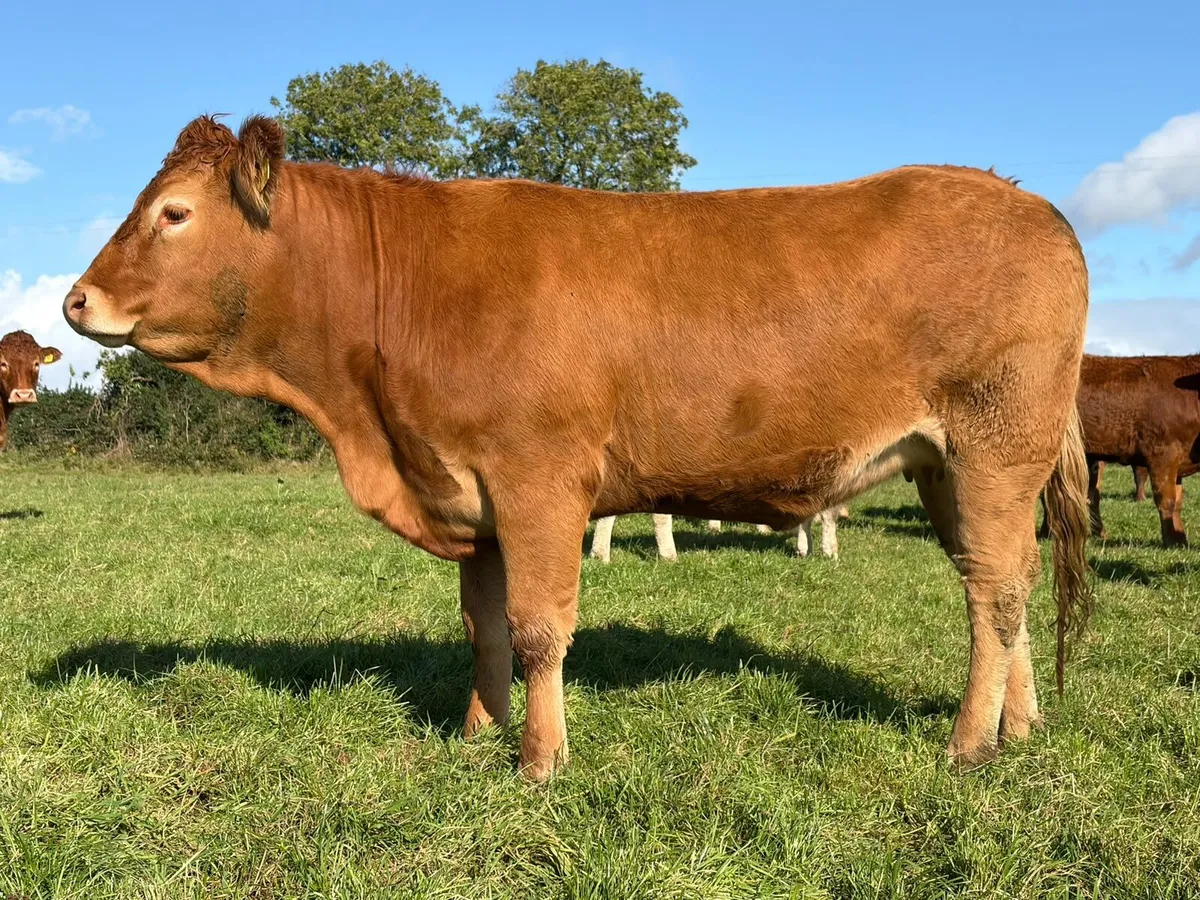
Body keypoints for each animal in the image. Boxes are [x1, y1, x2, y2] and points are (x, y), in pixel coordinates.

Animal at [64, 115, 1092, 779]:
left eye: (174, 213)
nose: (76, 300)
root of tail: (1027, 200)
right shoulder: (469, 491)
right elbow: (483, 625)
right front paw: (477, 733)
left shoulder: (538, 479)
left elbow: (537, 627)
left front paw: (539, 761)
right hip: (951, 467)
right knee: (1005, 582)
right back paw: (1023, 729)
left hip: (994, 445)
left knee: (994, 595)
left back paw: (968, 744)